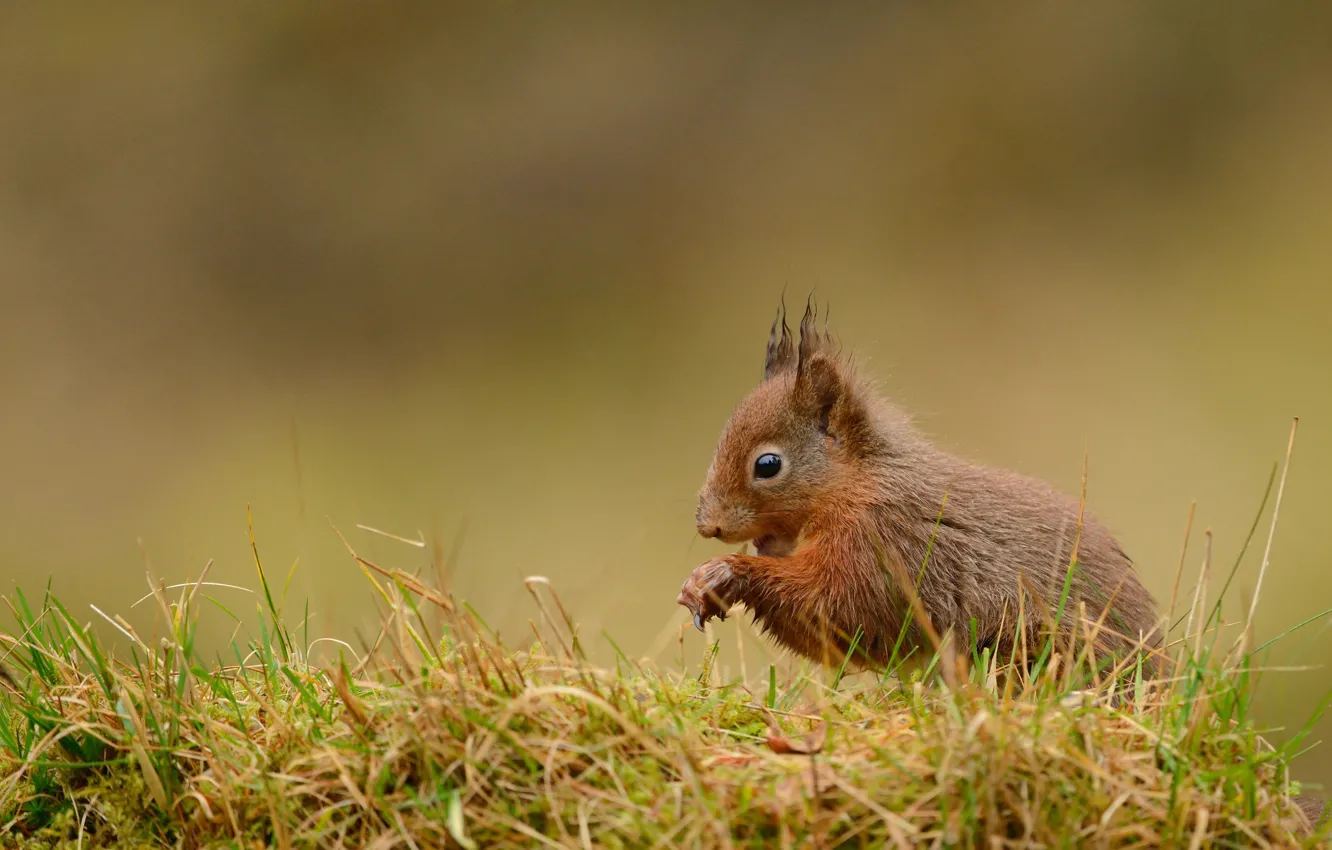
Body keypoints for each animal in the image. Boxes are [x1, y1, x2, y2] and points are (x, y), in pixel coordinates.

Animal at [676, 300, 1164, 677]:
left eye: (768, 465)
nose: (707, 526)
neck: (859, 484)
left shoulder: (885, 544)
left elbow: (840, 611)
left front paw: (726, 574)